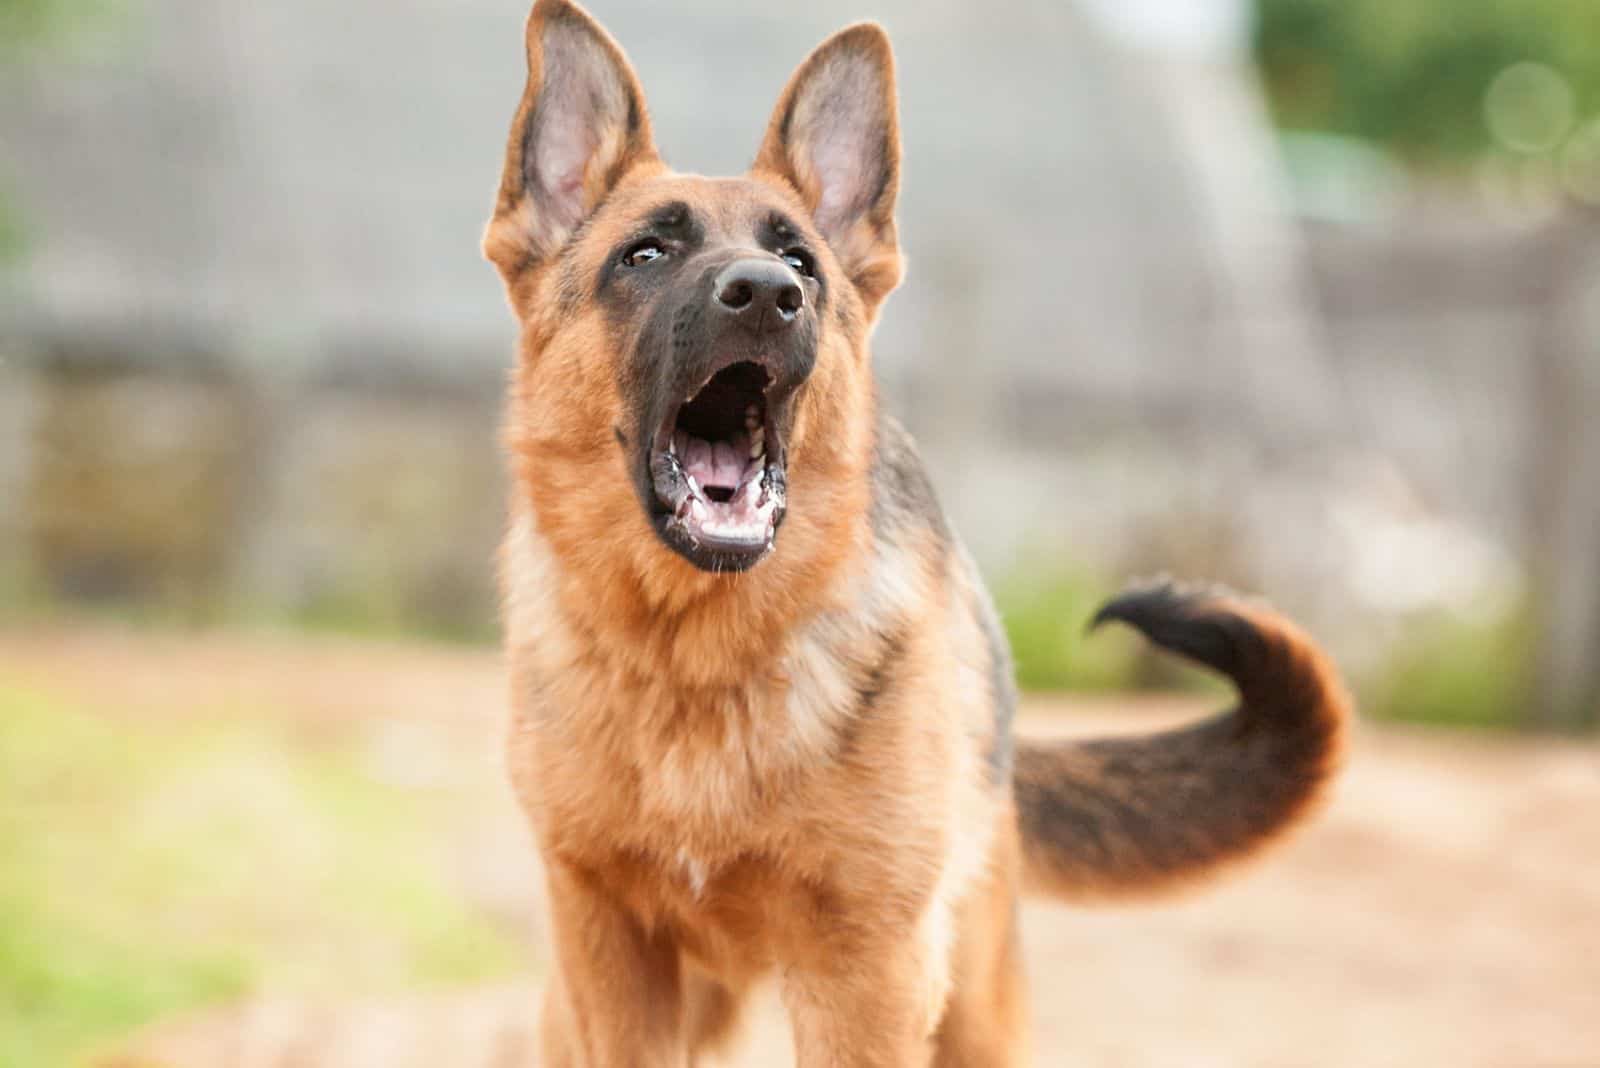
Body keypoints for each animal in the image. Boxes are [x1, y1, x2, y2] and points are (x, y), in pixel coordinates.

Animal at [476, 4, 1350, 1061]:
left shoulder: (866, 978)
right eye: (644, 255)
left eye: (801, 262)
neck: (697, 659)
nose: (768, 294)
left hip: (971, 1007)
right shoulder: (613, 966)